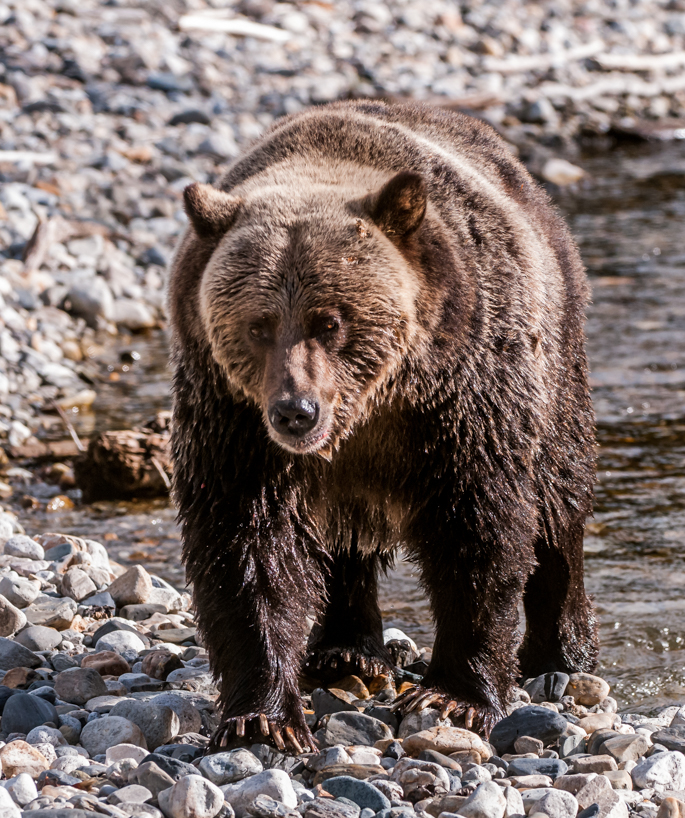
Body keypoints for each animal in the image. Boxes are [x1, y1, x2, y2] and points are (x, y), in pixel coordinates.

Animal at [167, 100, 598, 753]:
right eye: (258, 325)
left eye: (329, 322)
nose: (296, 411)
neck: (371, 409)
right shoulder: (234, 420)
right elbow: (245, 543)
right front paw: (263, 717)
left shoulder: (462, 399)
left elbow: (480, 527)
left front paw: (455, 696)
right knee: (341, 540)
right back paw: (344, 651)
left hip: (554, 355)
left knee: (558, 502)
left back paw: (562, 652)